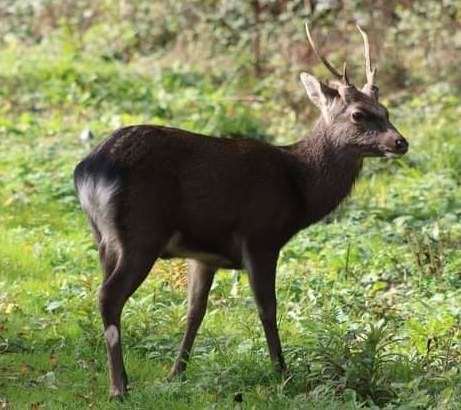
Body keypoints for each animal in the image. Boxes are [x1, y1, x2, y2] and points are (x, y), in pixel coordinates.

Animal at [73, 22, 408, 398]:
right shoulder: (261, 235)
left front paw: (176, 373)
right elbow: (267, 308)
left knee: (105, 292)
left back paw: (125, 379)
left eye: (386, 112)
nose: (400, 142)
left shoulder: (203, 254)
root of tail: (90, 170)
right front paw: (282, 373)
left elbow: (195, 311)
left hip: (104, 238)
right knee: (109, 296)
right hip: (141, 233)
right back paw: (119, 387)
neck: (299, 188)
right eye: (358, 114)